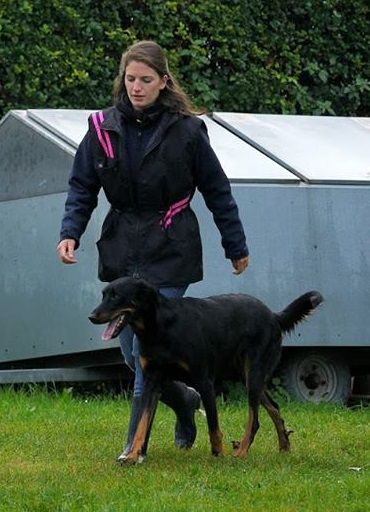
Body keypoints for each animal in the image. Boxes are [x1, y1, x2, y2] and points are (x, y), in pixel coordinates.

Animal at [88, 278, 322, 462]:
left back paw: (241, 451)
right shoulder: (151, 381)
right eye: (104, 295)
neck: (160, 327)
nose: (91, 316)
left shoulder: (204, 380)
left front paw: (218, 453)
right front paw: (133, 455)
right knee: (274, 407)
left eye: (116, 296)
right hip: (247, 376)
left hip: (254, 373)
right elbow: (142, 424)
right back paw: (283, 446)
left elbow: (213, 424)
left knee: (254, 419)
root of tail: (274, 316)